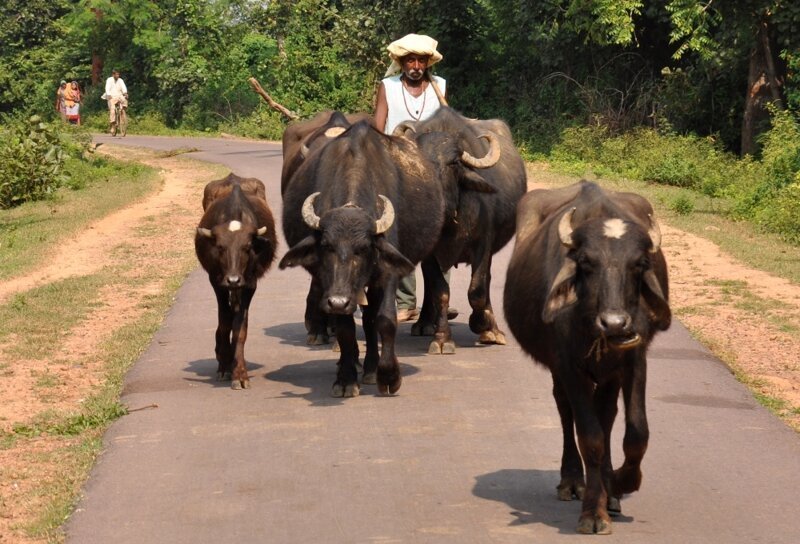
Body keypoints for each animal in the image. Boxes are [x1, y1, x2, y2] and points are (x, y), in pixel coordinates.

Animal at [195, 172, 278, 388]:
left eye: (247, 247)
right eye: (220, 247)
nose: (233, 279)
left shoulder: (249, 283)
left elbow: (240, 326)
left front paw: (239, 372)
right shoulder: (217, 282)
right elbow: (224, 321)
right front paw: (224, 364)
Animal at [278, 119, 496, 396]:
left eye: (364, 248)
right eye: (326, 246)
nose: (337, 302)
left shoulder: (388, 271)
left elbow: (384, 319)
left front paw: (389, 375)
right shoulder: (336, 284)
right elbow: (346, 329)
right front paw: (346, 378)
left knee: (371, 317)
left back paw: (372, 368)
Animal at [504, 180, 672, 536]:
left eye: (639, 263)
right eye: (586, 261)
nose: (615, 323)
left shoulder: (634, 360)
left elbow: (636, 432)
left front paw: (619, 483)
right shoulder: (570, 366)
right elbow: (590, 437)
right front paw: (594, 511)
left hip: (609, 374)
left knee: (607, 415)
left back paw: (610, 488)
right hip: (560, 370)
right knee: (566, 411)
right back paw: (572, 481)